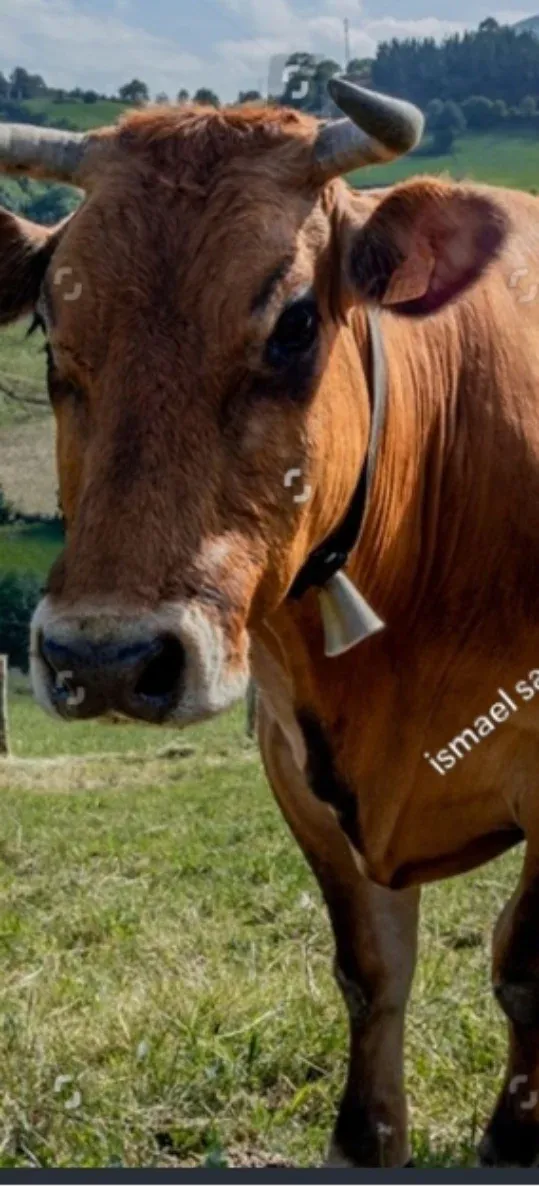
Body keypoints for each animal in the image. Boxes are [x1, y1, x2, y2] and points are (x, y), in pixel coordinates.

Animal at [0, 77, 538, 1168]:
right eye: (45, 323)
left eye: (294, 322)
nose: (105, 660)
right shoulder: (297, 770)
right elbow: (369, 972)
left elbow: (524, 971)